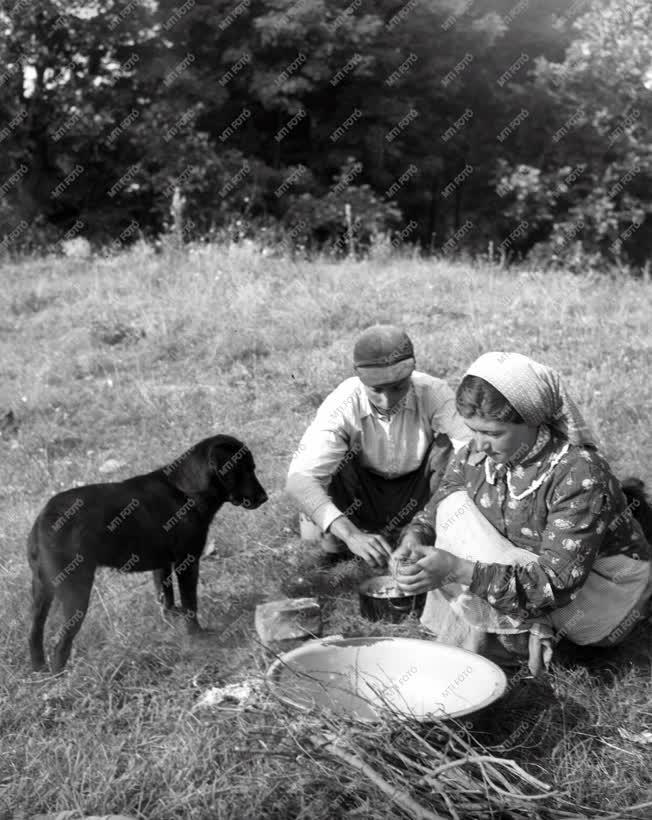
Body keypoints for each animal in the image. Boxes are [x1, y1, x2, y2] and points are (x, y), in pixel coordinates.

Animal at [28, 436, 268, 672]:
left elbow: (166, 594)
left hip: (41, 591)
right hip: (75, 590)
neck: (185, 491)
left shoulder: (162, 564)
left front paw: (171, 618)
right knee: (61, 644)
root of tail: (41, 522)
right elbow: (190, 602)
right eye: (246, 470)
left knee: (34, 633)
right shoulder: (187, 561)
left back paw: (39, 668)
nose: (265, 497)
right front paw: (197, 635)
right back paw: (60, 675)